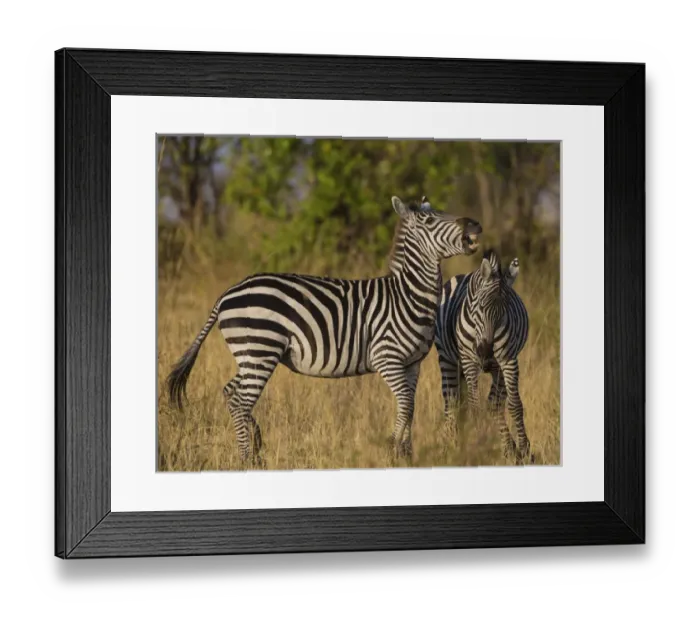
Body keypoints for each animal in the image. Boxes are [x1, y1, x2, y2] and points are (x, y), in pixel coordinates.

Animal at [167, 196, 483, 465]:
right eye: (429, 221)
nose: (475, 226)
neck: (407, 296)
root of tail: (226, 294)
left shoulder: (412, 363)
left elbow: (410, 407)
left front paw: (404, 455)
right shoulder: (387, 358)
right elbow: (405, 404)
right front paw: (391, 448)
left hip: (249, 354)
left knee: (231, 393)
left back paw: (255, 445)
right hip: (260, 349)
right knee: (241, 400)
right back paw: (247, 458)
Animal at [434, 249, 532, 464]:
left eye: (505, 312)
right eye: (478, 306)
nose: (485, 351)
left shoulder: (508, 360)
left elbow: (514, 405)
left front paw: (524, 450)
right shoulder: (470, 362)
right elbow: (474, 407)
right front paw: (476, 446)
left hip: (497, 370)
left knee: (494, 404)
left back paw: (509, 448)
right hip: (448, 360)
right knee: (452, 403)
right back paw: (448, 447)